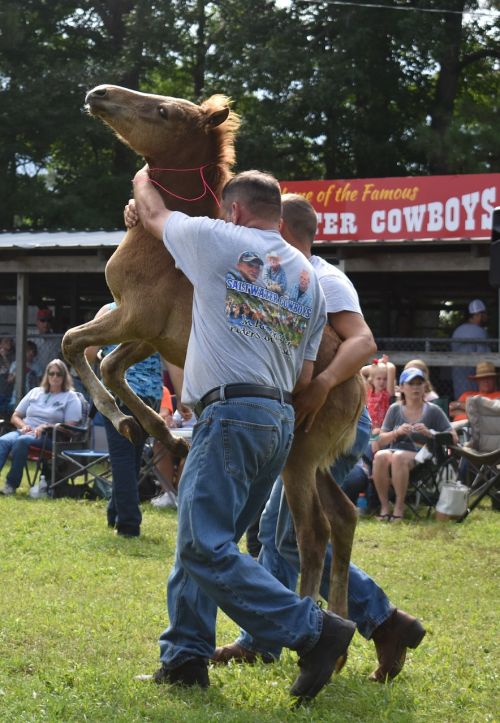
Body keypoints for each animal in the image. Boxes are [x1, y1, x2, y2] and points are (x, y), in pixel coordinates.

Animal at [62, 87, 362, 624]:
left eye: (163, 110)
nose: (99, 94)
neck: (159, 243)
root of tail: (358, 386)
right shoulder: (150, 335)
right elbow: (111, 365)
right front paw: (160, 434)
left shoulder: (132, 317)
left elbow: (75, 343)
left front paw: (121, 421)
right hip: (318, 461)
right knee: (345, 519)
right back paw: (344, 616)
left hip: (300, 460)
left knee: (314, 533)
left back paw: (311, 618)